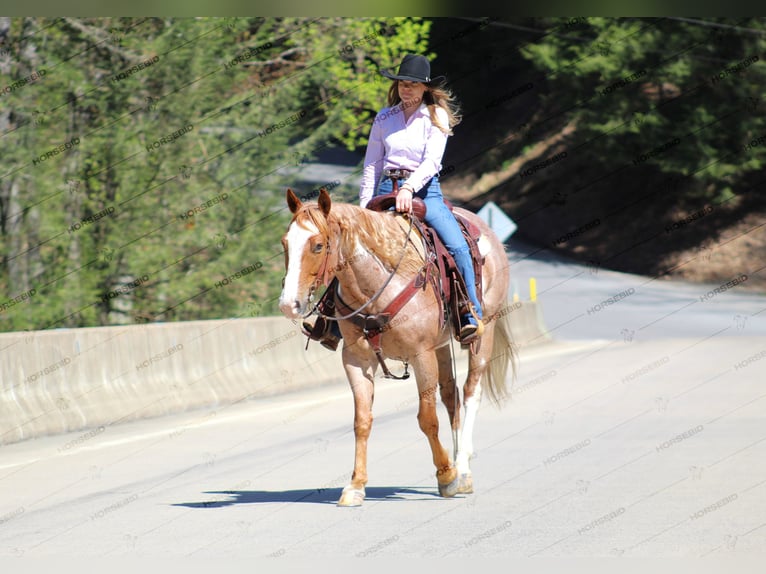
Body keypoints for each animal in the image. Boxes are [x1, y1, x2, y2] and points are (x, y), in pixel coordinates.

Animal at [278, 189, 516, 508]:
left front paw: (446, 476)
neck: (378, 286)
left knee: (470, 394)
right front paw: (355, 486)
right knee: (451, 398)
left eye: (317, 245)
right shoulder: (356, 360)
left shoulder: (421, 355)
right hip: (441, 346)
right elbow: (362, 422)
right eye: (285, 243)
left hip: (484, 331)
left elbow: (427, 419)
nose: (288, 304)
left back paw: (463, 469)